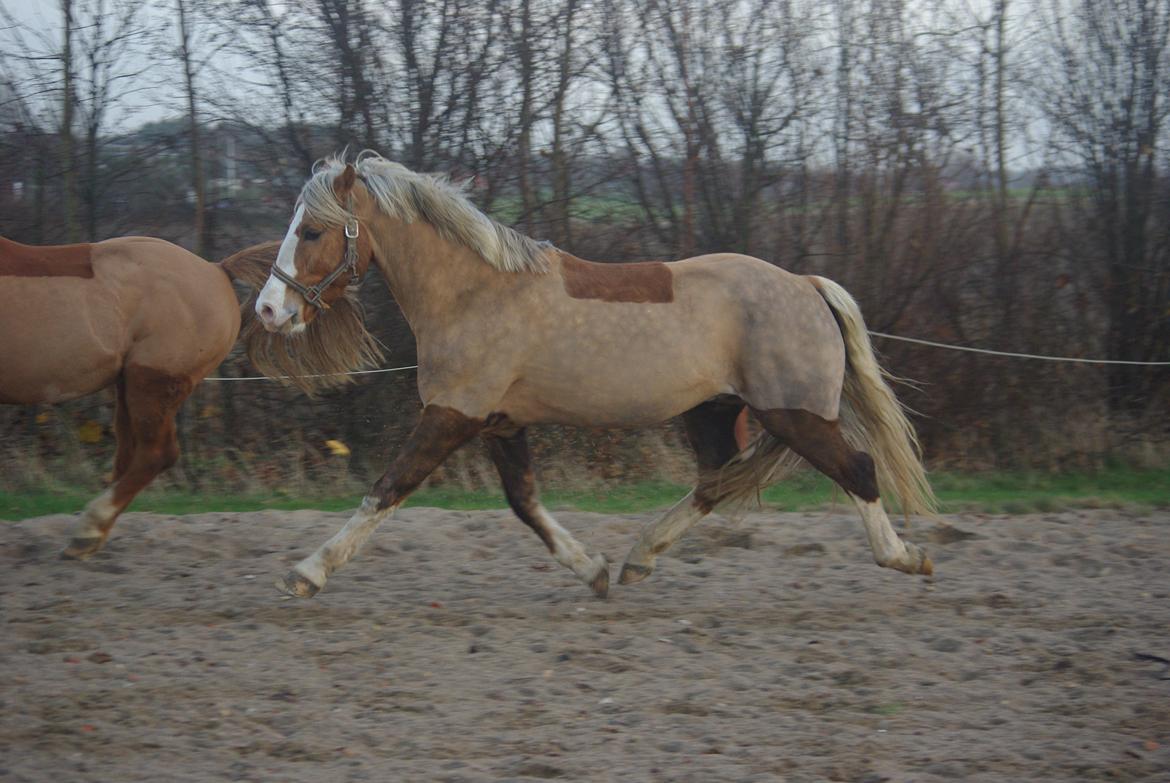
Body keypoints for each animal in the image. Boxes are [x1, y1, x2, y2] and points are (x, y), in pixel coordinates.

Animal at [253, 154, 931, 599]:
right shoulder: (499, 423)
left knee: (857, 470)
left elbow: (386, 488)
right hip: (717, 411)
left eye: (311, 231)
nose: (268, 311)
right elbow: (525, 503)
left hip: (795, 416)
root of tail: (807, 286)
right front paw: (593, 571)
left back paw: (906, 557)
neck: (475, 294)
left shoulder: (451, 415)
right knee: (717, 481)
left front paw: (306, 573)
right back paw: (638, 559)